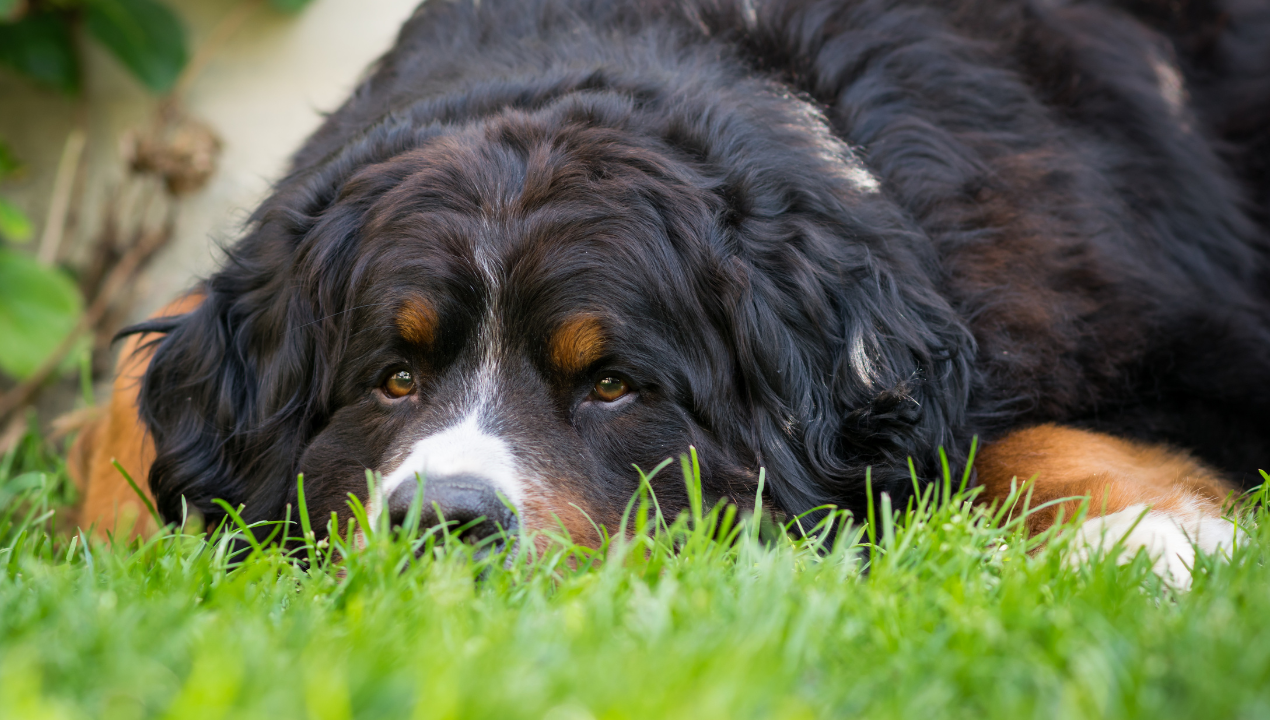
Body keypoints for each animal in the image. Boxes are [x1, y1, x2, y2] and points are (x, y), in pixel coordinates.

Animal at [72, 0, 1270, 586]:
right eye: (393, 379)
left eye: (610, 385)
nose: (443, 521)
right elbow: (132, 380)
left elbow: (993, 443)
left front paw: (1159, 536)